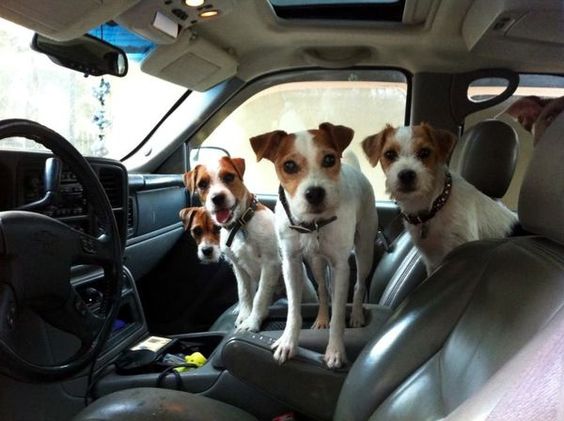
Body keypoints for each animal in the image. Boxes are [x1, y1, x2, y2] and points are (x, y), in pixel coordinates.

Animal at [184, 156, 280, 330]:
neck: (240, 226)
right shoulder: (238, 267)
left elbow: (260, 296)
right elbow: (244, 292)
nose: (217, 198)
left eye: (229, 177)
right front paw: (244, 315)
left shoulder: (271, 264)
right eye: (202, 184)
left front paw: (253, 321)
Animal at [250, 122, 374, 368]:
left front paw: (335, 351)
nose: (315, 193)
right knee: (324, 290)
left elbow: (339, 315)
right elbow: (293, 310)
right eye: (289, 165)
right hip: (316, 262)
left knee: (358, 285)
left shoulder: (341, 266)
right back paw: (322, 318)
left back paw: (356, 314)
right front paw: (288, 342)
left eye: (329, 159)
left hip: (364, 249)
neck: (313, 224)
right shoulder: (291, 263)